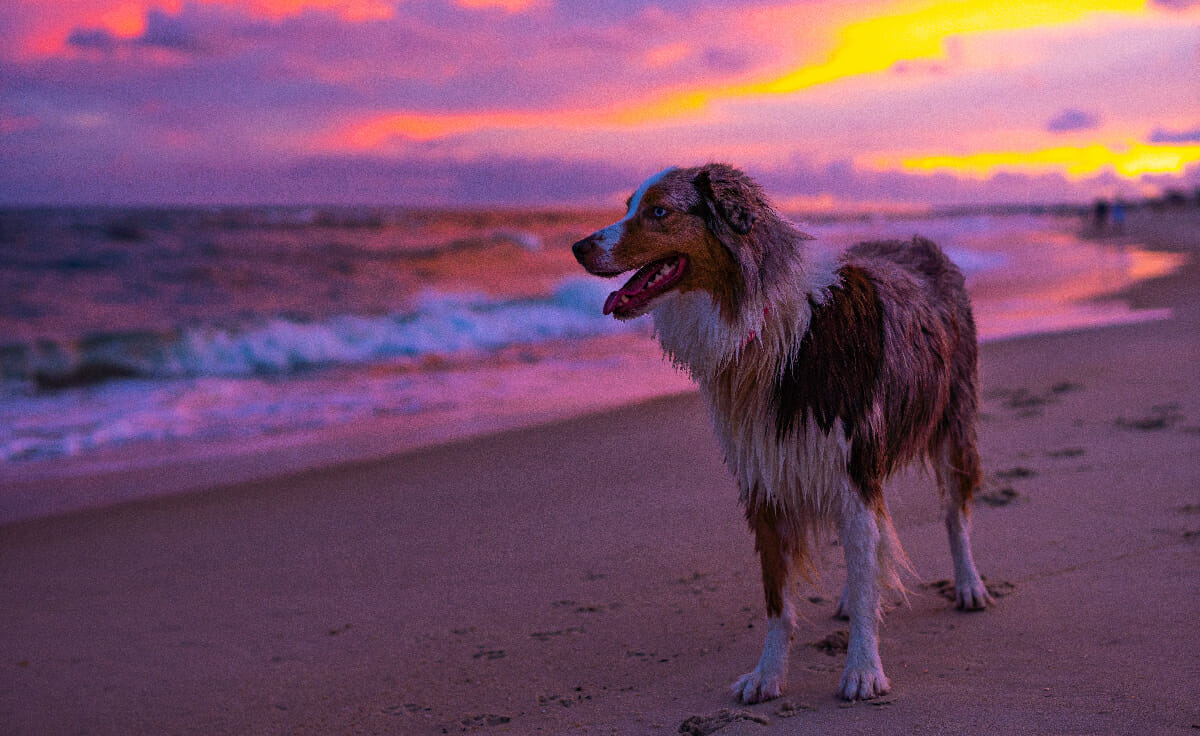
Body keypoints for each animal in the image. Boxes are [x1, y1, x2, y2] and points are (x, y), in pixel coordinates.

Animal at [571, 163, 993, 701]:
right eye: (628, 206)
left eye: (659, 211)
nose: (577, 246)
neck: (765, 323)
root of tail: (918, 243)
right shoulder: (765, 473)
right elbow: (778, 598)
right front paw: (768, 673)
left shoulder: (852, 462)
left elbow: (869, 559)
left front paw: (863, 669)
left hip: (951, 422)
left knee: (954, 511)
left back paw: (969, 584)